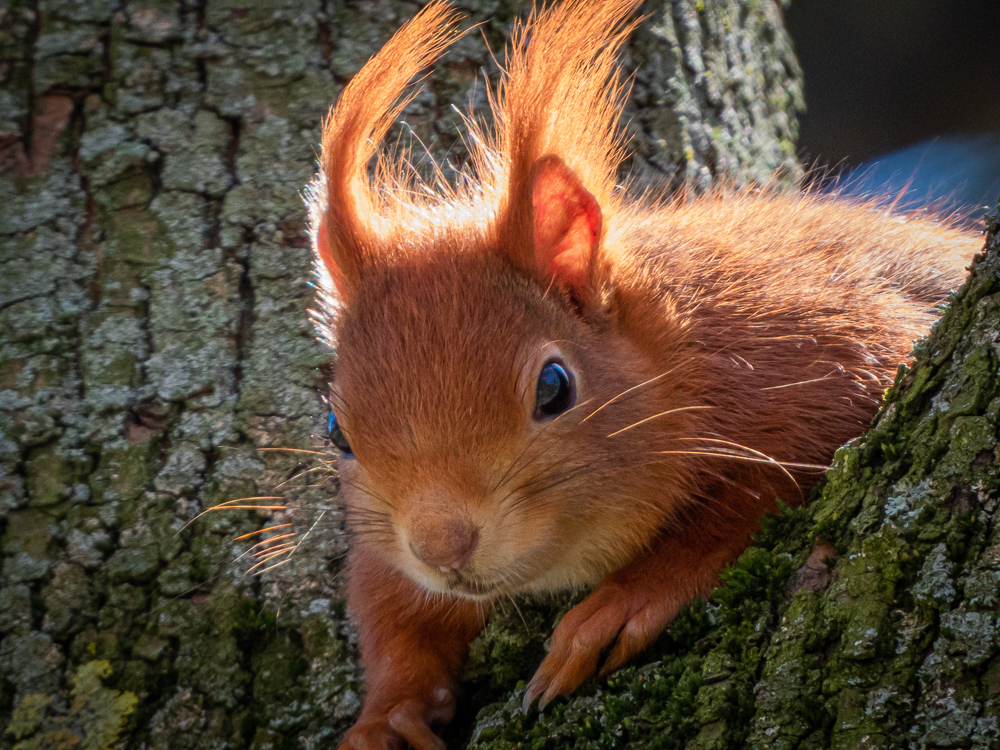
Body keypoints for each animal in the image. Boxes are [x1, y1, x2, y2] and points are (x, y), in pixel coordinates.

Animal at [308, 2, 980, 748]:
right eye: (335, 430)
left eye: (554, 388)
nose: (442, 546)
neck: (674, 346)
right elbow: (390, 602)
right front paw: (387, 714)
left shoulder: (827, 347)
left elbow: (748, 500)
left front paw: (622, 604)